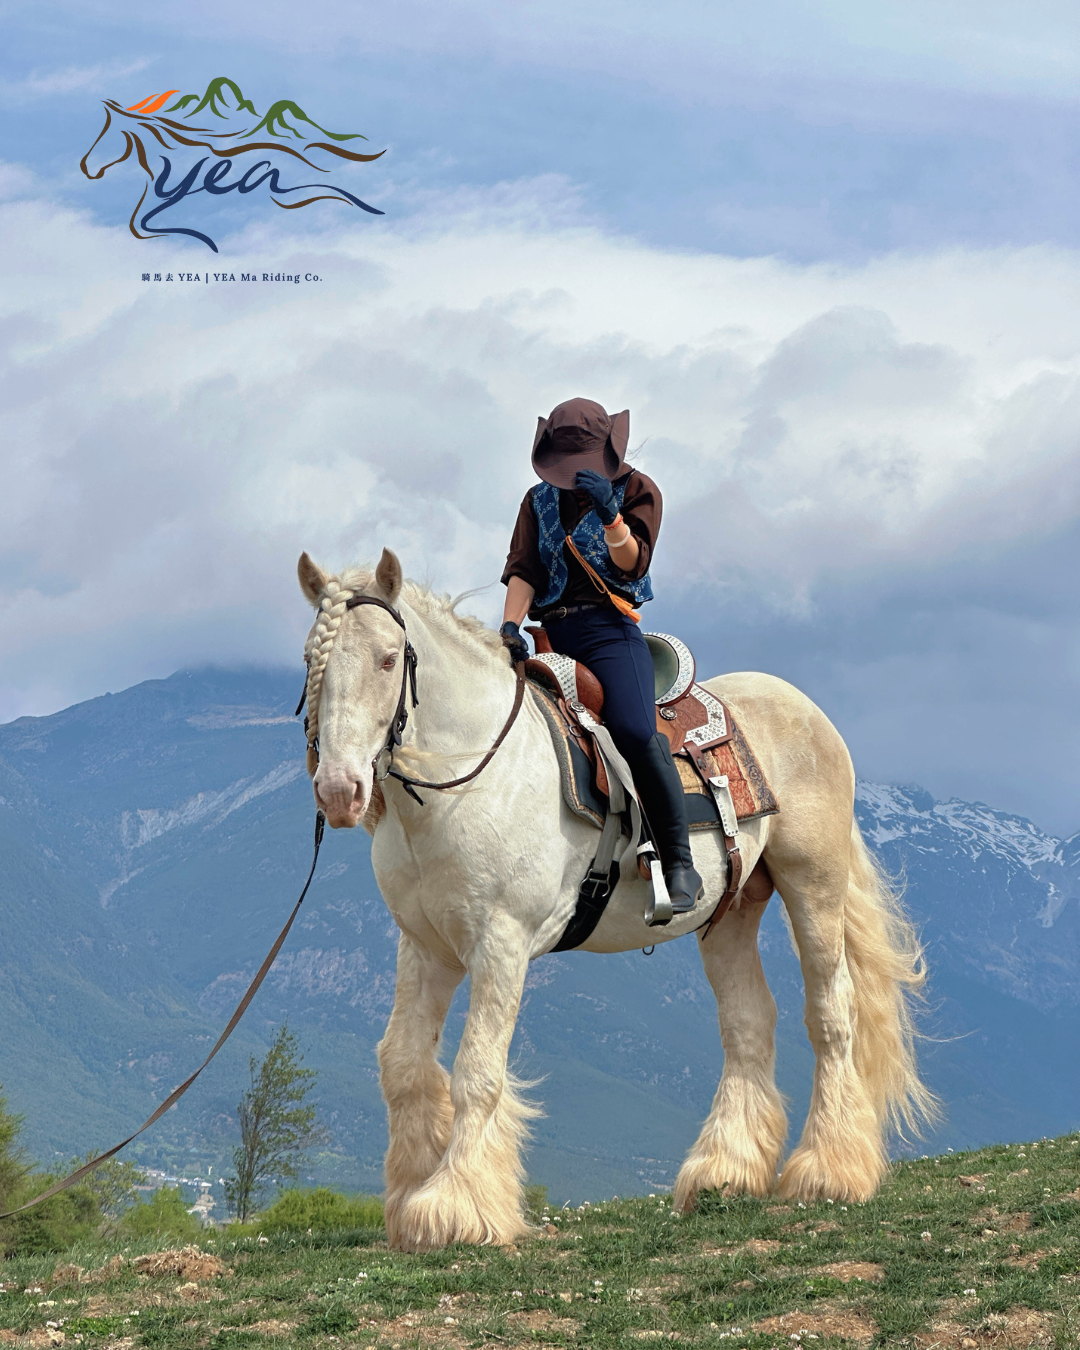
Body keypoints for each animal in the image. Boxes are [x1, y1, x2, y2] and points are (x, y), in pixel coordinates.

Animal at [298, 547, 935, 1253]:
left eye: (388, 659)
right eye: (310, 662)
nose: (339, 791)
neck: (468, 777)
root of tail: (805, 709)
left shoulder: (500, 942)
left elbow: (477, 1072)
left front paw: (455, 1207)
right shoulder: (427, 947)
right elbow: (405, 1065)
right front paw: (413, 1197)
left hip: (813, 884)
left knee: (830, 1014)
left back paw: (829, 1170)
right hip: (731, 910)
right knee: (748, 1023)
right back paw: (724, 1171)